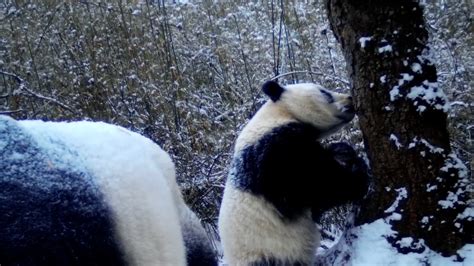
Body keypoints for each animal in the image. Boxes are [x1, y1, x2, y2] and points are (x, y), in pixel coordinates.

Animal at [218, 81, 370, 266]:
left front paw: (342, 150)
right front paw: (358, 172)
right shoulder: (277, 153)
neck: (280, 113)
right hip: (268, 254)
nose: (350, 99)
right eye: (325, 93)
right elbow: (319, 183)